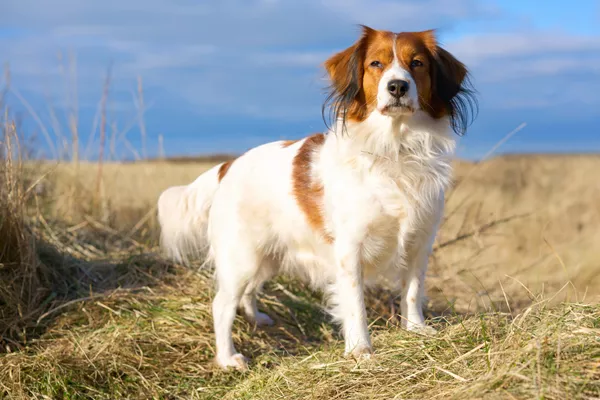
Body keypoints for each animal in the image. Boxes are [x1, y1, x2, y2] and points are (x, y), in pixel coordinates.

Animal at [157, 24, 476, 368]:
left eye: (417, 63)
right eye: (376, 64)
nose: (398, 87)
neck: (395, 147)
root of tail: (228, 166)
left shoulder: (420, 239)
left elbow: (413, 290)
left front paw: (416, 330)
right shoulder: (350, 248)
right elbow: (355, 302)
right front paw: (360, 349)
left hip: (265, 256)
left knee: (248, 293)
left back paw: (257, 319)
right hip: (241, 256)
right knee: (222, 305)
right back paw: (229, 358)